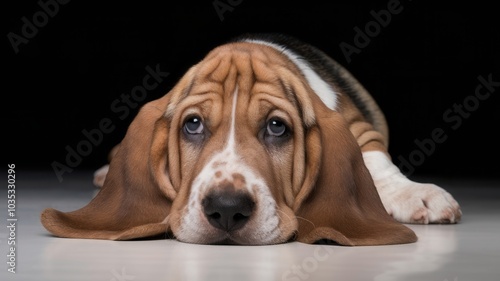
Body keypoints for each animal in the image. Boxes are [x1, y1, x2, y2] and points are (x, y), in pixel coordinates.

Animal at [41, 32, 462, 244]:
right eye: (192, 124)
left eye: (277, 127)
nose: (227, 209)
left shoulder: (359, 126)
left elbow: (376, 161)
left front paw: (414, 194)